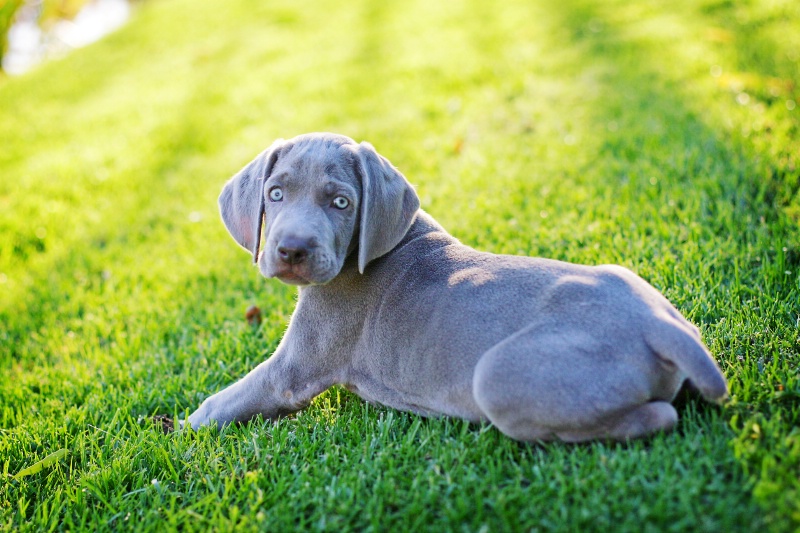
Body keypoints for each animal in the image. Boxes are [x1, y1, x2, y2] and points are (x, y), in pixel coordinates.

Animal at [184, 131, 728, 438]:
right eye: (275, 194)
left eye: (340, 203)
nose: (292, 251)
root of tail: (660, 326)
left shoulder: (294, 367)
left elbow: (221, 403)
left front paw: (177, 433)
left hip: (499, 378)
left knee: (660, 418)